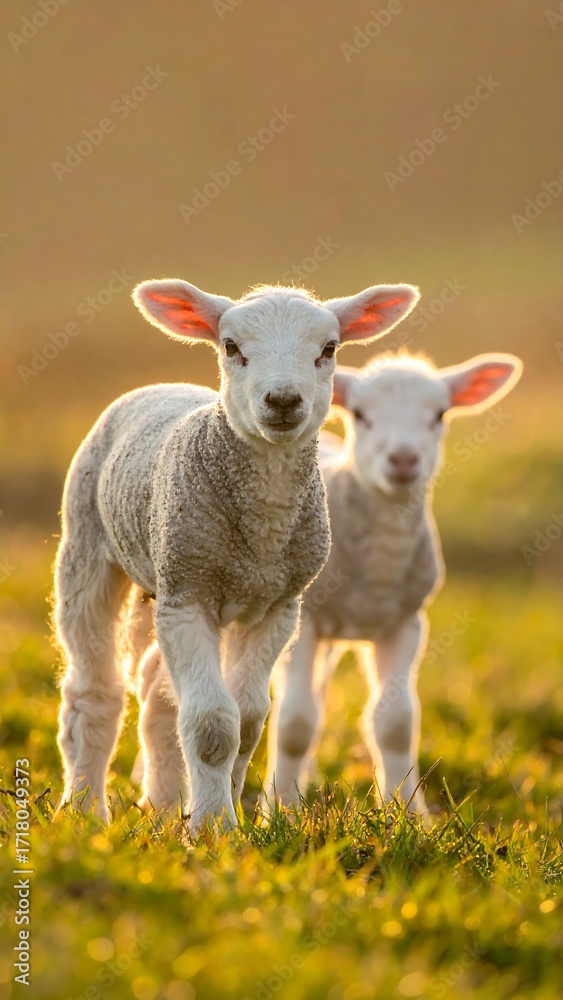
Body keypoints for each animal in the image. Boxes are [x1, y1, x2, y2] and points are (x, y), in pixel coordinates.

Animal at [53, 278, 420, 832]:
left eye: (329, 348)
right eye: (231, 346)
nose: (283, 399)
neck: (263, 531)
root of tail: (162, 386)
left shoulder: (277, 607)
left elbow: (246, 721)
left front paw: (221, 812)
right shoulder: (189, 592)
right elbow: (211, 724)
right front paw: (212, 828)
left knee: (157, 690)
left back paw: (161, 808)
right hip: (90, 547)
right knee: (93, 692)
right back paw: (84, 811)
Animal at [264, 350, 523, 812]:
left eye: (439, 414)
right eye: (360, 414)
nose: (403, 460)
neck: (378, 572)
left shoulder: (405, 622)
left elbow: (396, 723)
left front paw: (406, 811)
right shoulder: (306, 623)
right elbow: (294, 723)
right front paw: (282, 812)